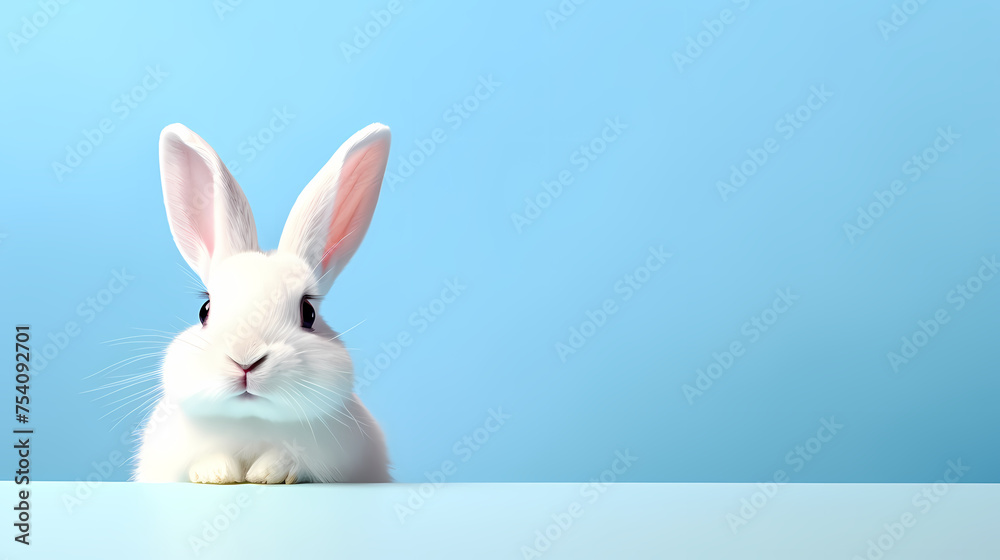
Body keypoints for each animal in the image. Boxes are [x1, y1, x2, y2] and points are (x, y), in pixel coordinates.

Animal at [134, 122, 392, 484]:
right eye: (205, 310)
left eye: (309, 313)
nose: (246, 360)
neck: (251, 420)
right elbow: (205, 459)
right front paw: (217, 473)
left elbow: (291, 460)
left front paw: (268, 472)